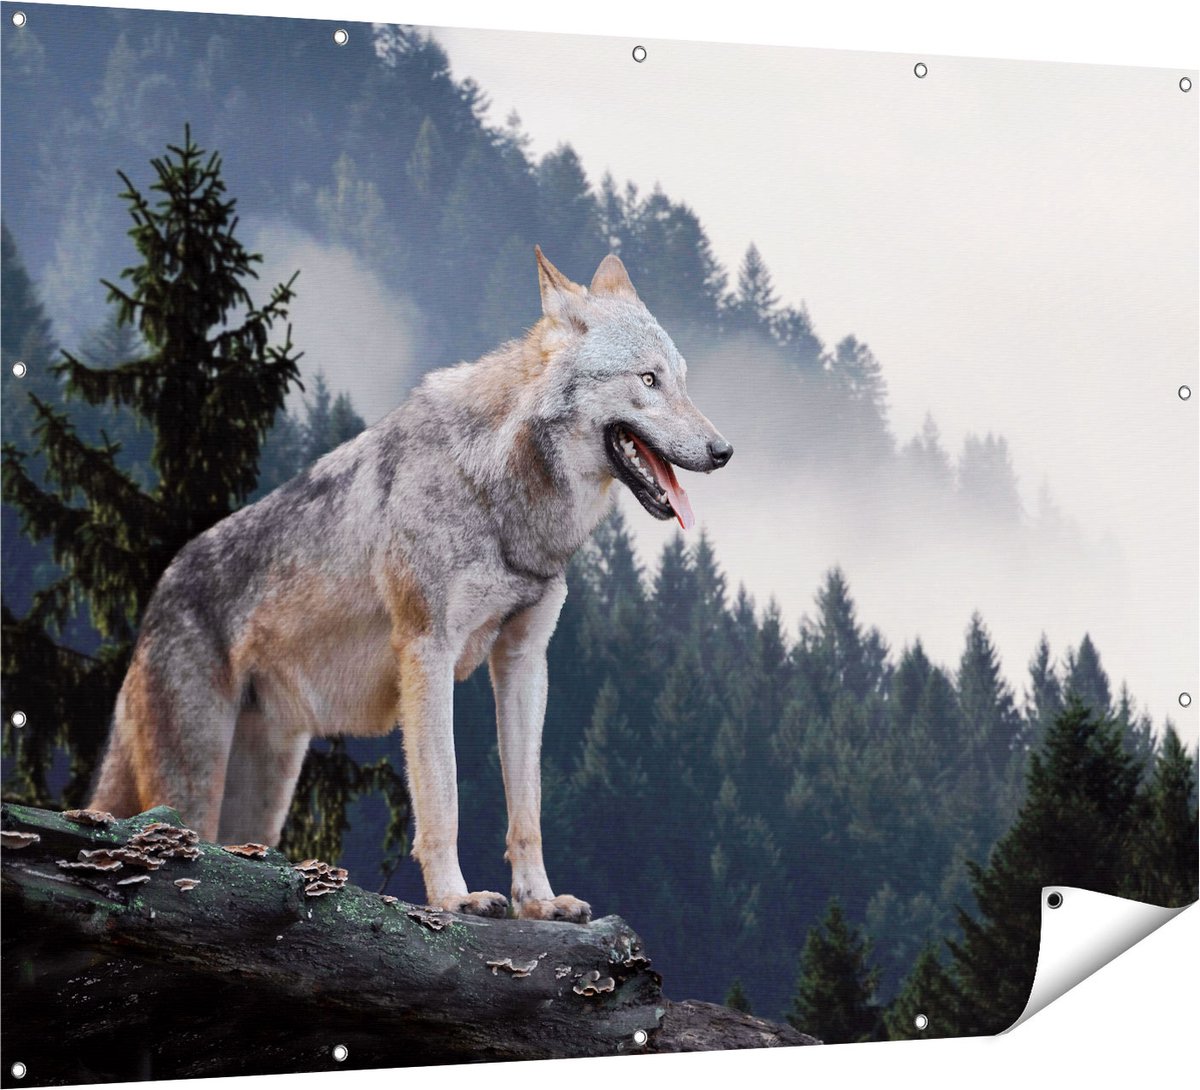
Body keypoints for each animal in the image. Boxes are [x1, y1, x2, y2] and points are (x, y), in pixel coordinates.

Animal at [90, 247, 732, 921]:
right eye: (648, 380)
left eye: (682, 380)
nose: (724, 451)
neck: (501, 495)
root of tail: (157, 596)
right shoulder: (427, 651)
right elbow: (443, 797)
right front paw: (455, 898)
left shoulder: (525, 662)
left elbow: (526, 809)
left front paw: (539, 903)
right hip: (193, 784)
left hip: (262, 798)